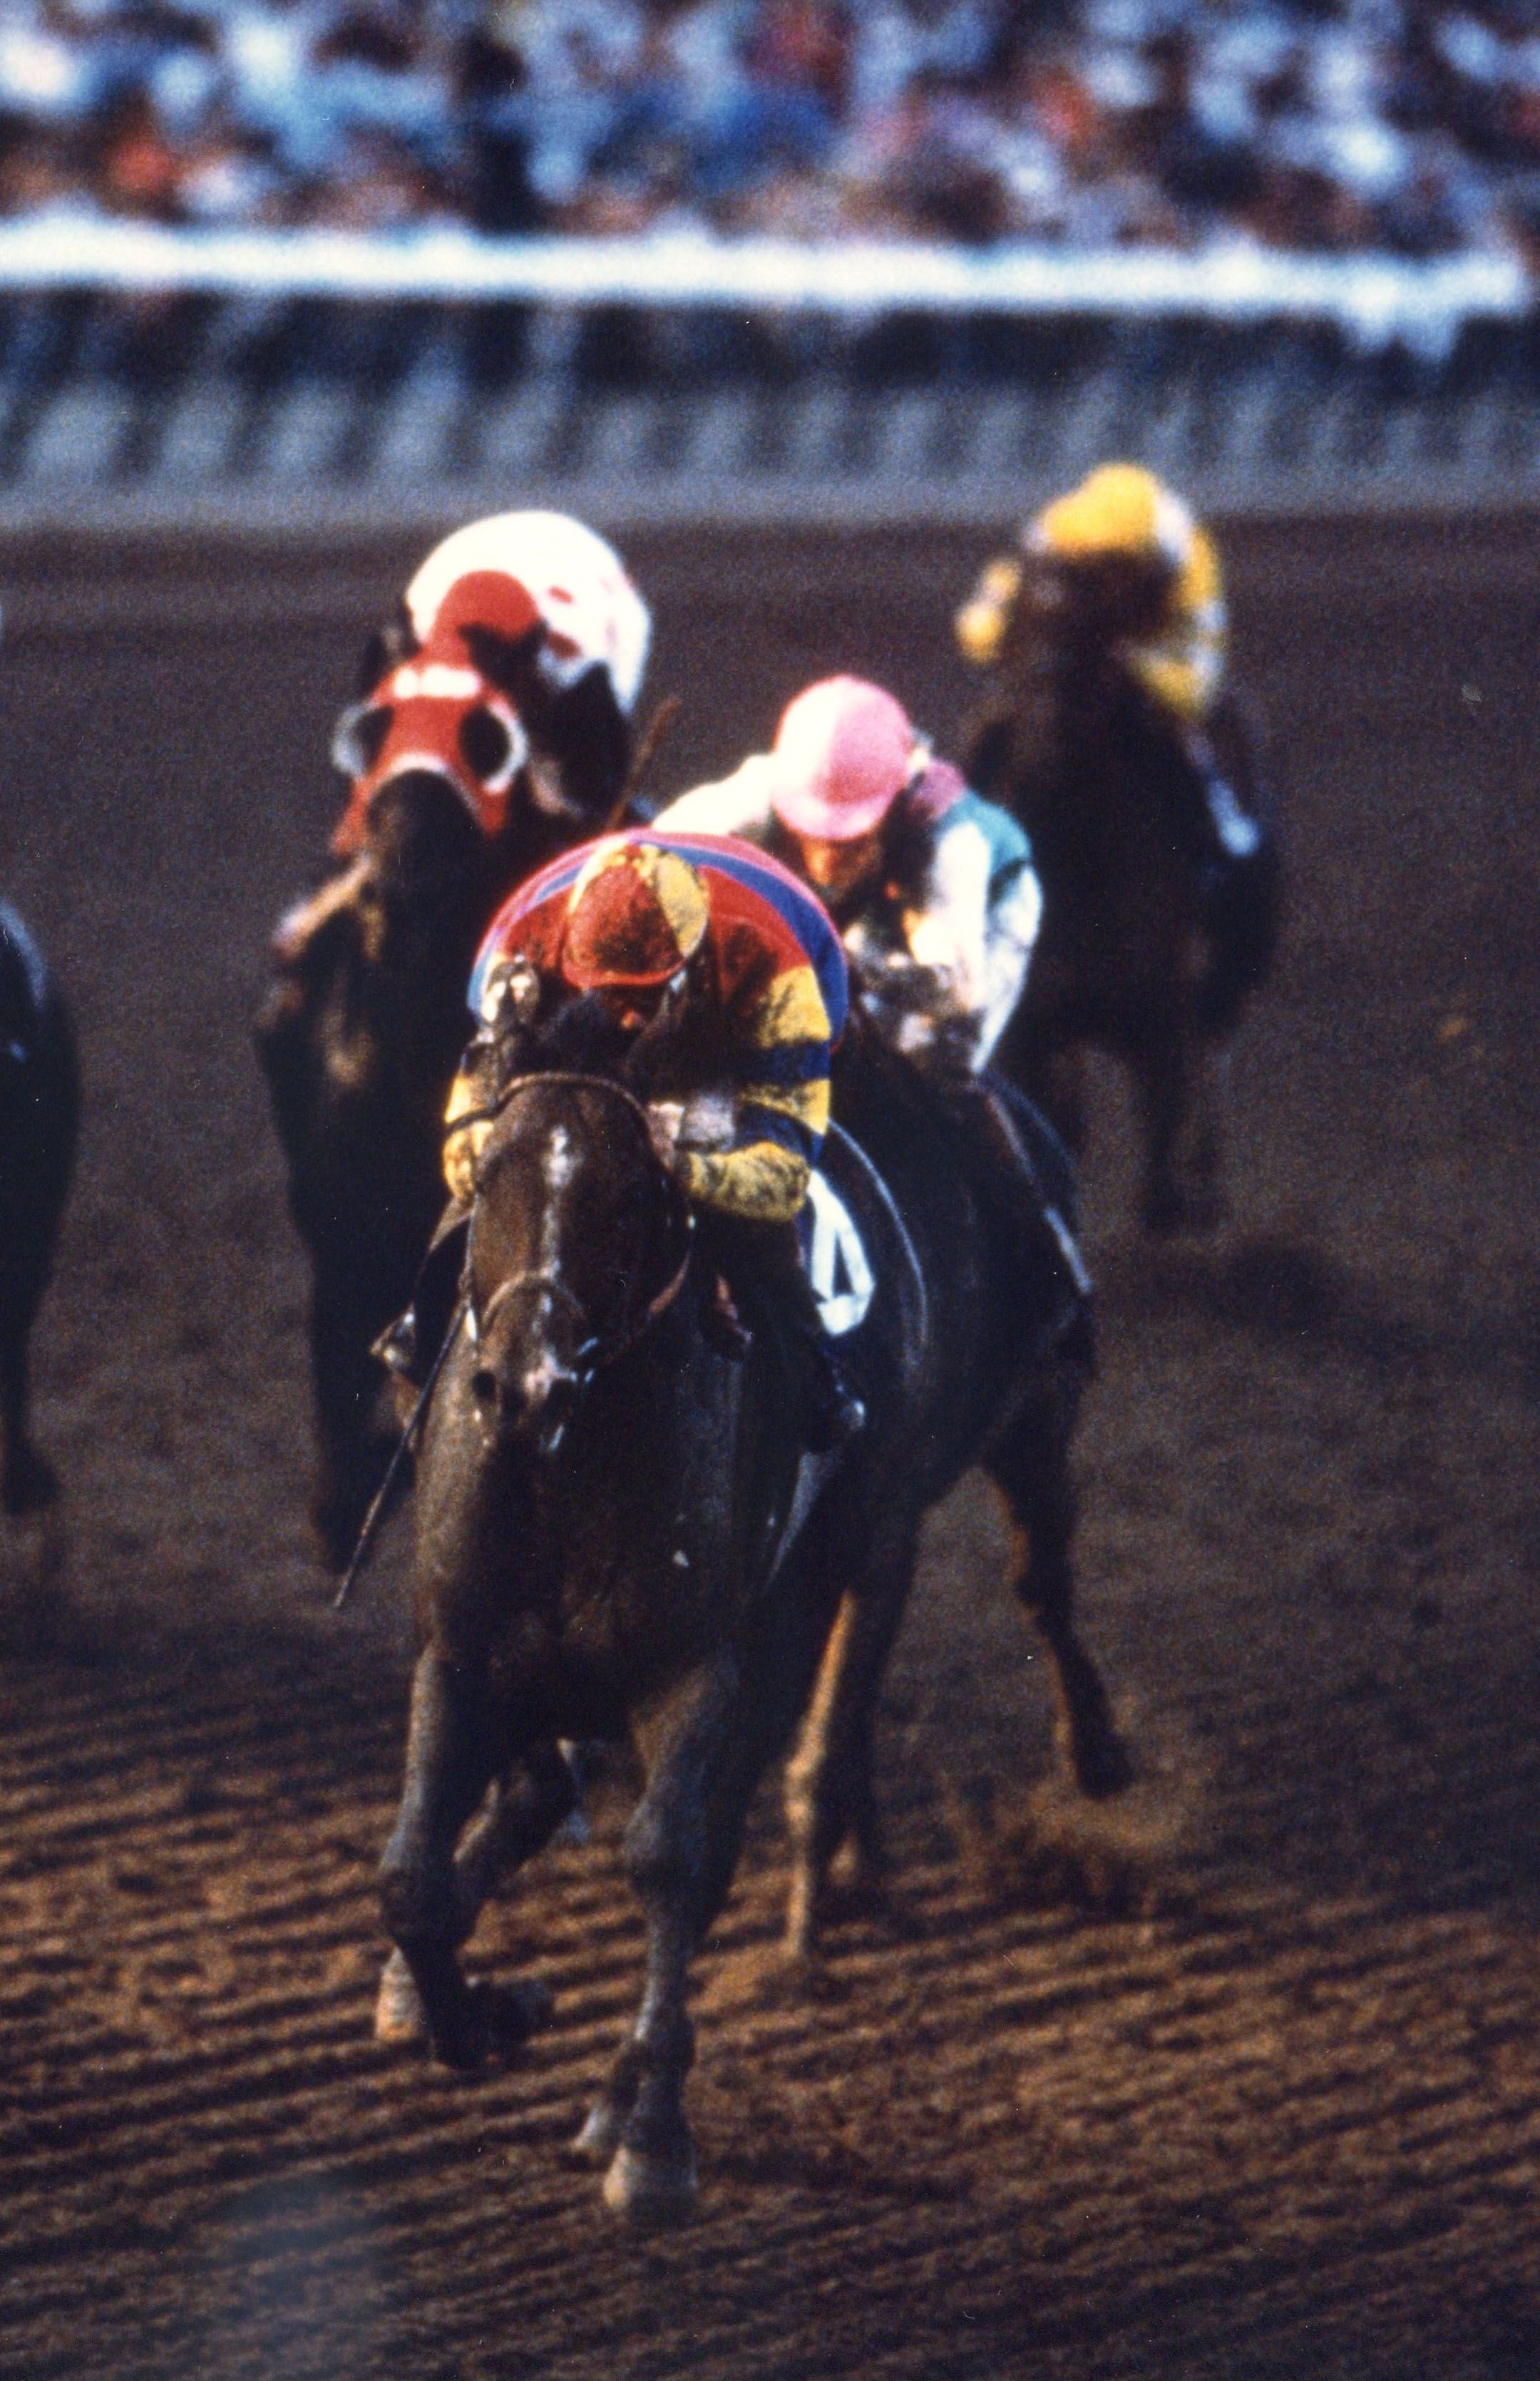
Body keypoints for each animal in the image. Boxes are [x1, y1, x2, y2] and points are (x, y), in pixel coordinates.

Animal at [971, 557, 1285, 1228]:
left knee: (1212, 1060)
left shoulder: (1160, 1022)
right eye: (1014, 631)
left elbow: (1163, 1147)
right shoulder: (1037, 1030)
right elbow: (1058, 1127)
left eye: (1093, 639)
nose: (1040, 739)